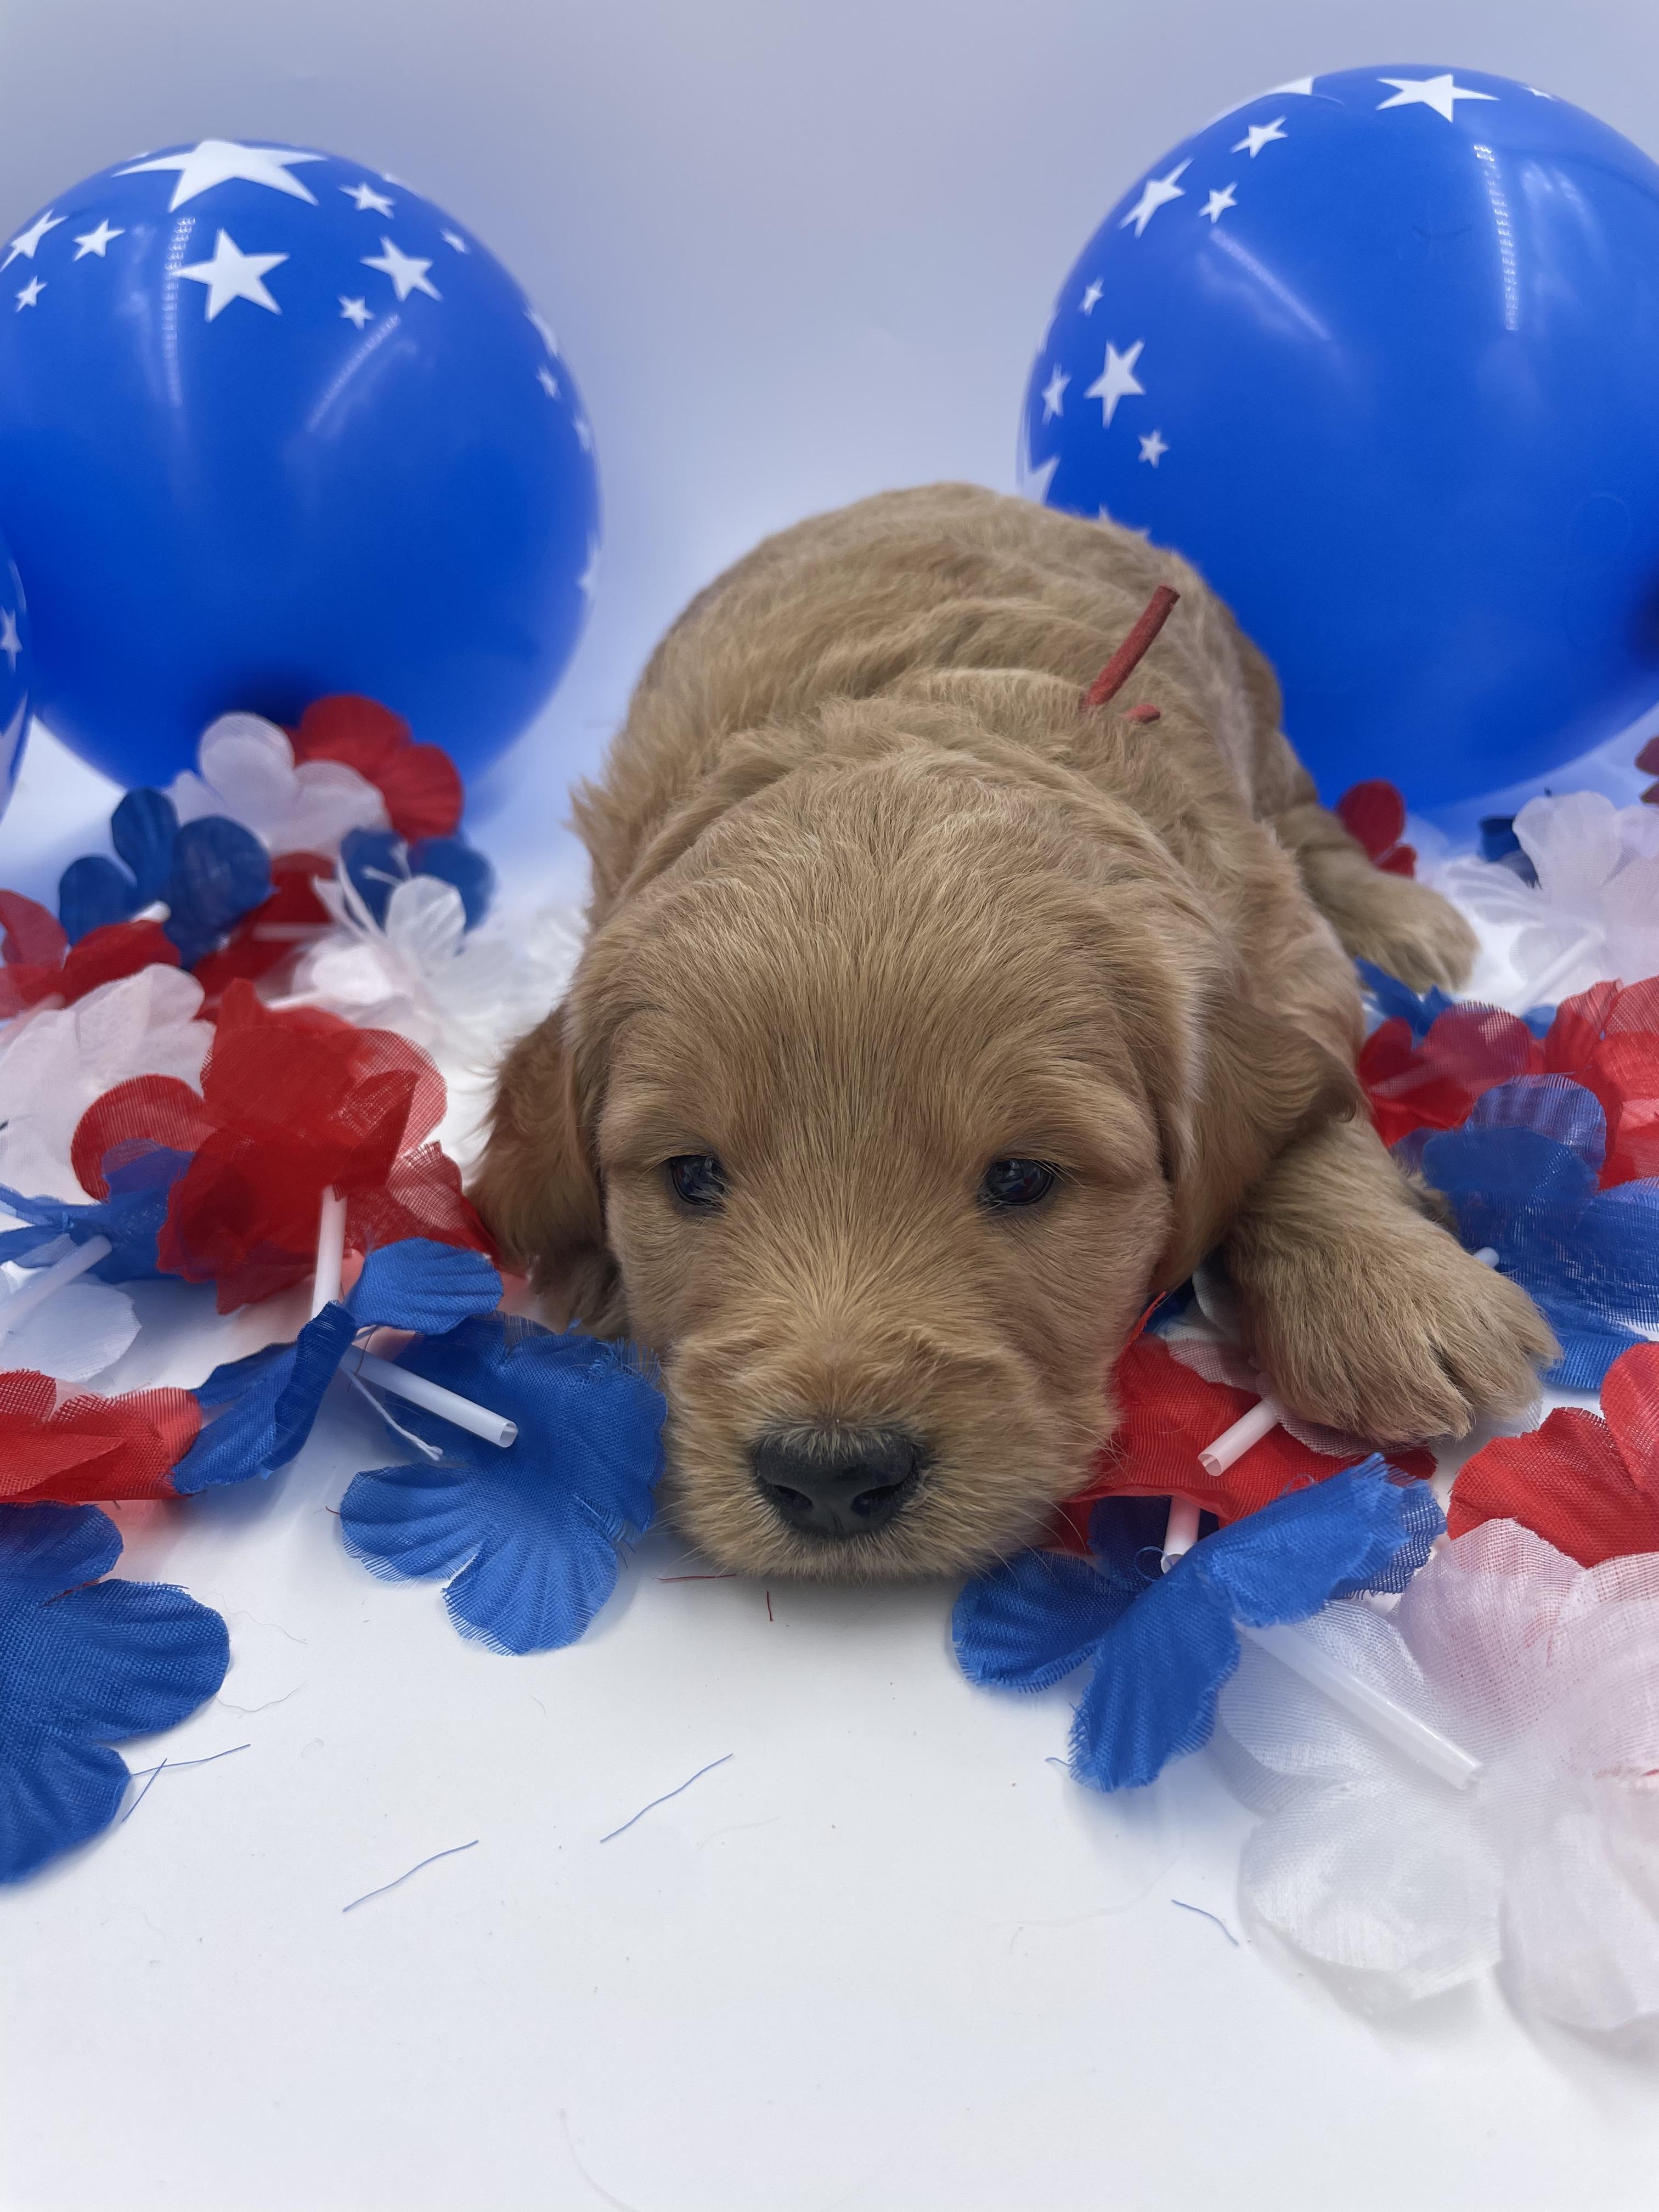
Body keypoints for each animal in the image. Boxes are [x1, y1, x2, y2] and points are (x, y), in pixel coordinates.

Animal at [475, 484, 1555, 1579]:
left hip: (1262, 726)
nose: (832, 1476)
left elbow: (1308, 1107)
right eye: (692, 1175)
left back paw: (1402, 918)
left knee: (1315, 826)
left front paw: (1389, 1290)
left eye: (1023, 1179)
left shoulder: (1271, 933)